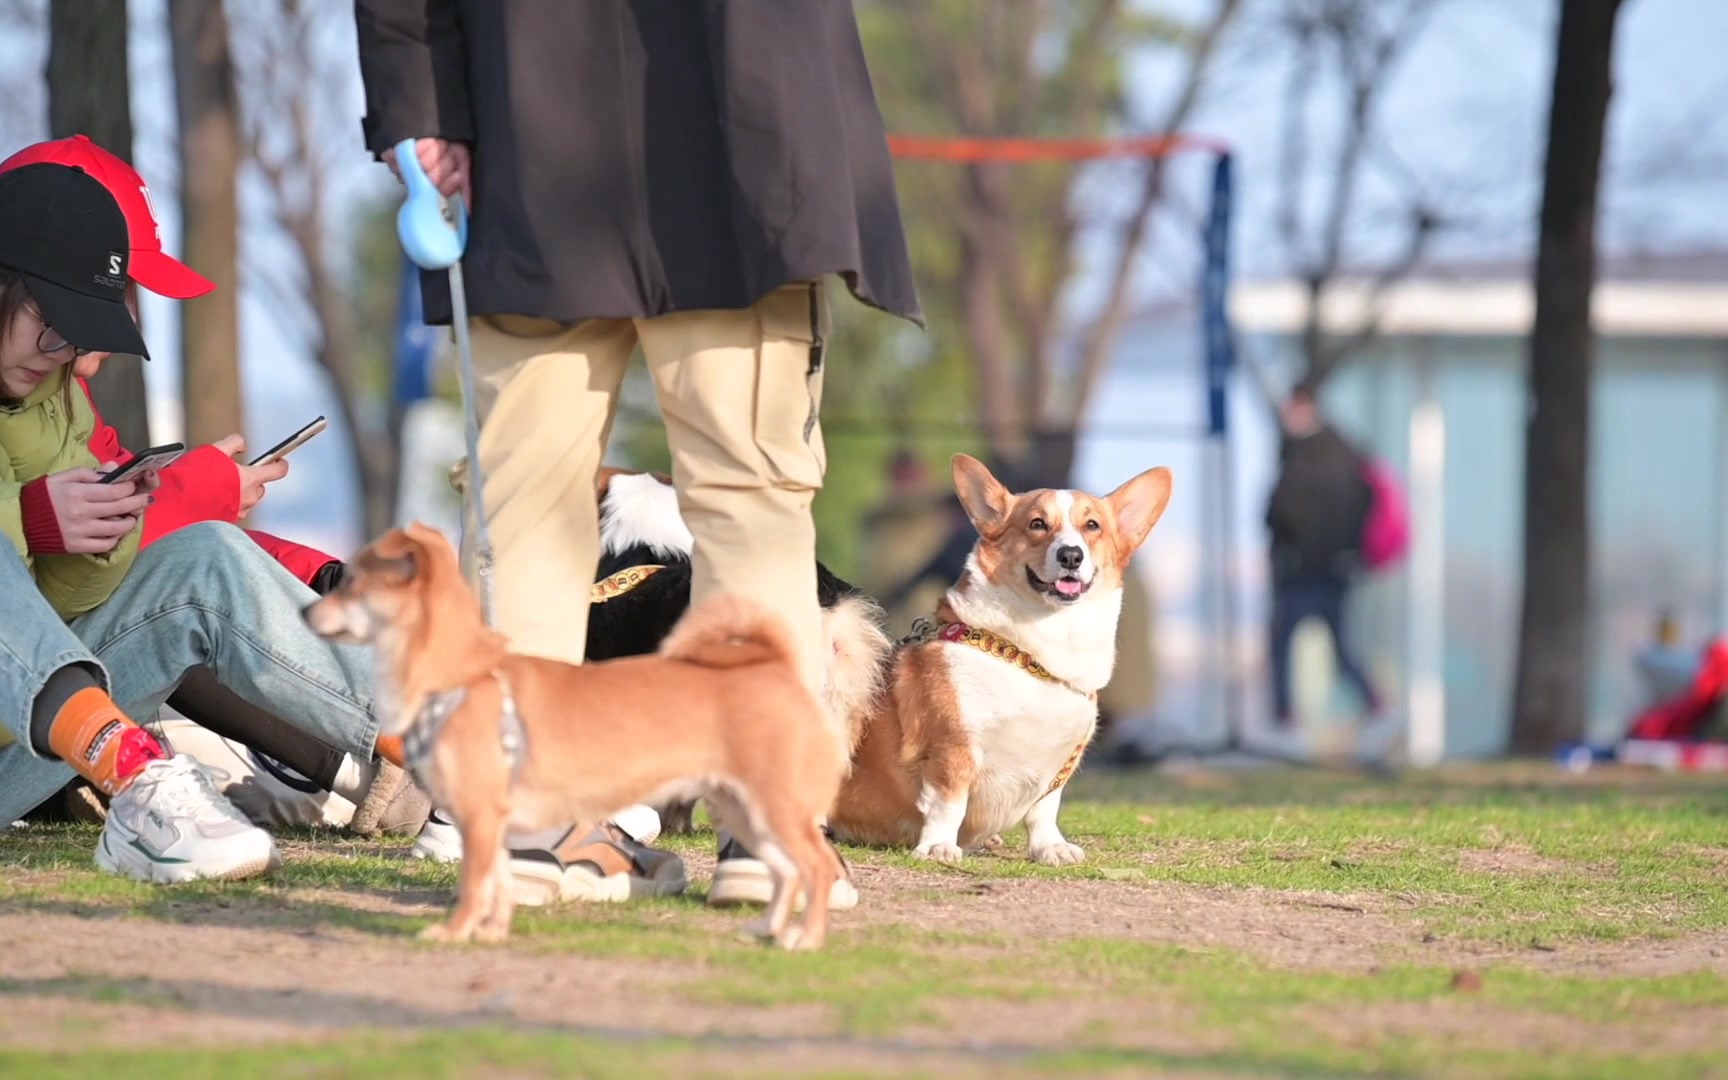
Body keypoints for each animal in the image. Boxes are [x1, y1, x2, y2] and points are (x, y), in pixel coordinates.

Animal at [314, 521, 853, 940]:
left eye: (353, 584)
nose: (306, 610)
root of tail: (775, 667)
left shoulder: (484, 814)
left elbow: (477, 884)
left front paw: (456, 932)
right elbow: (497, 882)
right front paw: (490, 930)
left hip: (772, 806)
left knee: (816, 867)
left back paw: (804, 939)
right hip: (746, 812)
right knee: (788, 871)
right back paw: (767, 929)